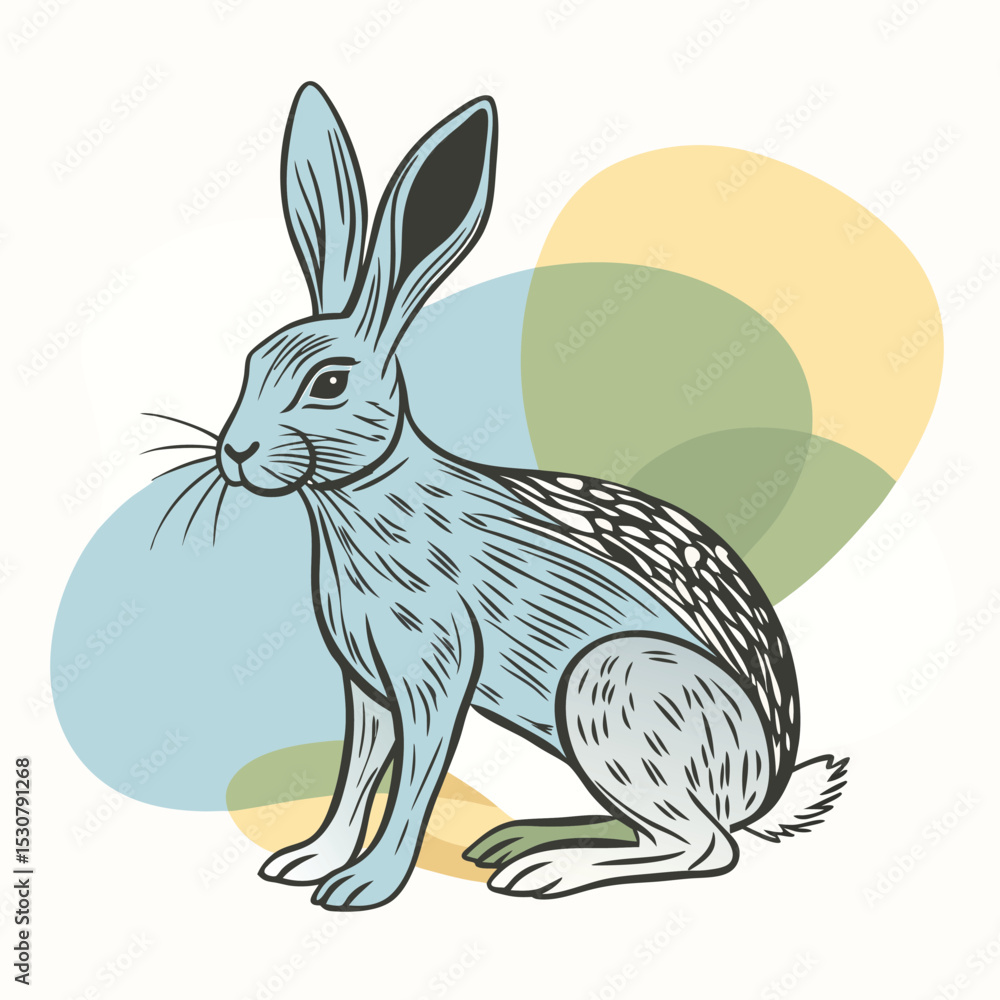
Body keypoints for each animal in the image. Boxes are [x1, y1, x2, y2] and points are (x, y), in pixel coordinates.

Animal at [205, 82, 848, 910]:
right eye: (253, 362)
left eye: (330, 383)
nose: (235, 451)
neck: (366, 498)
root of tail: (762, 788)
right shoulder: (367, 685)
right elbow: (356, 777)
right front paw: (308, 862)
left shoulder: (435, 669)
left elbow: (412, 782)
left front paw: (364, 887)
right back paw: (521, 839)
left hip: (613, 689)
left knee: (704, 845)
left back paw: (546, 870)